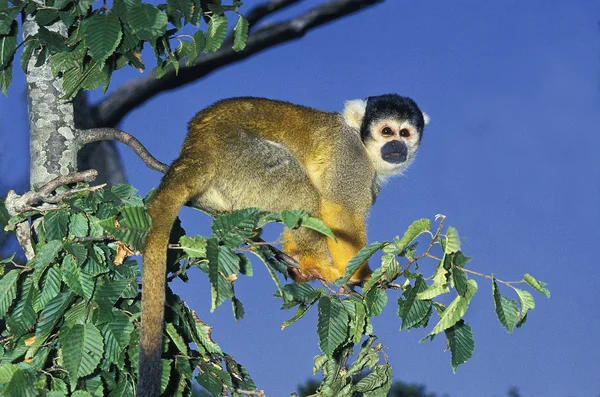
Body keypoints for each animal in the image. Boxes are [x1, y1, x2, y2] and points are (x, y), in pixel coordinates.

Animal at [137, 94, 426, 394]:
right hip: (242, 158)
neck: (363, 145)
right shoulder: (351, 159)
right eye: (387, 131)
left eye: (405, 133)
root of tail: (197, 146)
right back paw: (316, 262)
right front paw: (360, 274)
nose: (397, 146)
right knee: (300, 190)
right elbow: (341, 213)